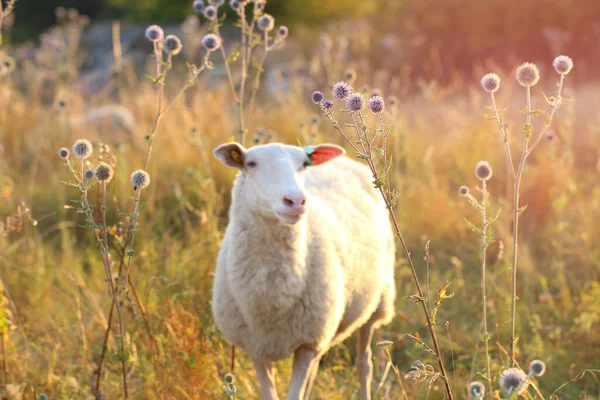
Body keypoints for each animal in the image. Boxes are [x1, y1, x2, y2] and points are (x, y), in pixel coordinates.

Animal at [213, 141, 396, 400]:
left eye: (303, 164)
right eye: (251, 163)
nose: (296, 201)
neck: (274, 297)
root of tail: (347, 161)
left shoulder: (307, 343)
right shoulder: (256, 346)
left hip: (376, 302)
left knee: (364, 364)